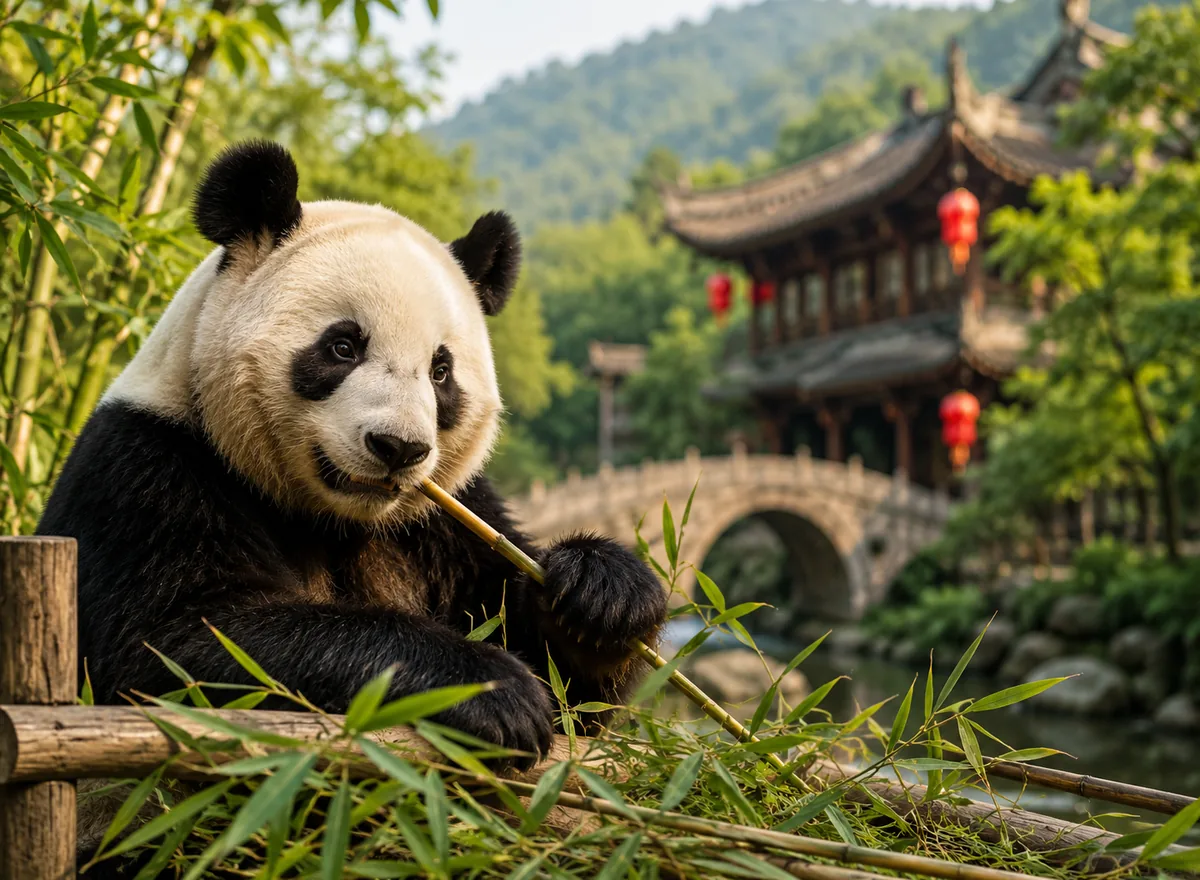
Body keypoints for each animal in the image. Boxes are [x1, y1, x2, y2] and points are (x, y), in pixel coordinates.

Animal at [38, 140, 668, 868]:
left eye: (441, 371)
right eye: (343, 345)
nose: (398, 447)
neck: (333, 516)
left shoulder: (443, 521)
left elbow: (576, 700)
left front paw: (604, 594)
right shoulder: (147, 471)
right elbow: (177, 650)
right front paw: (491, 691)